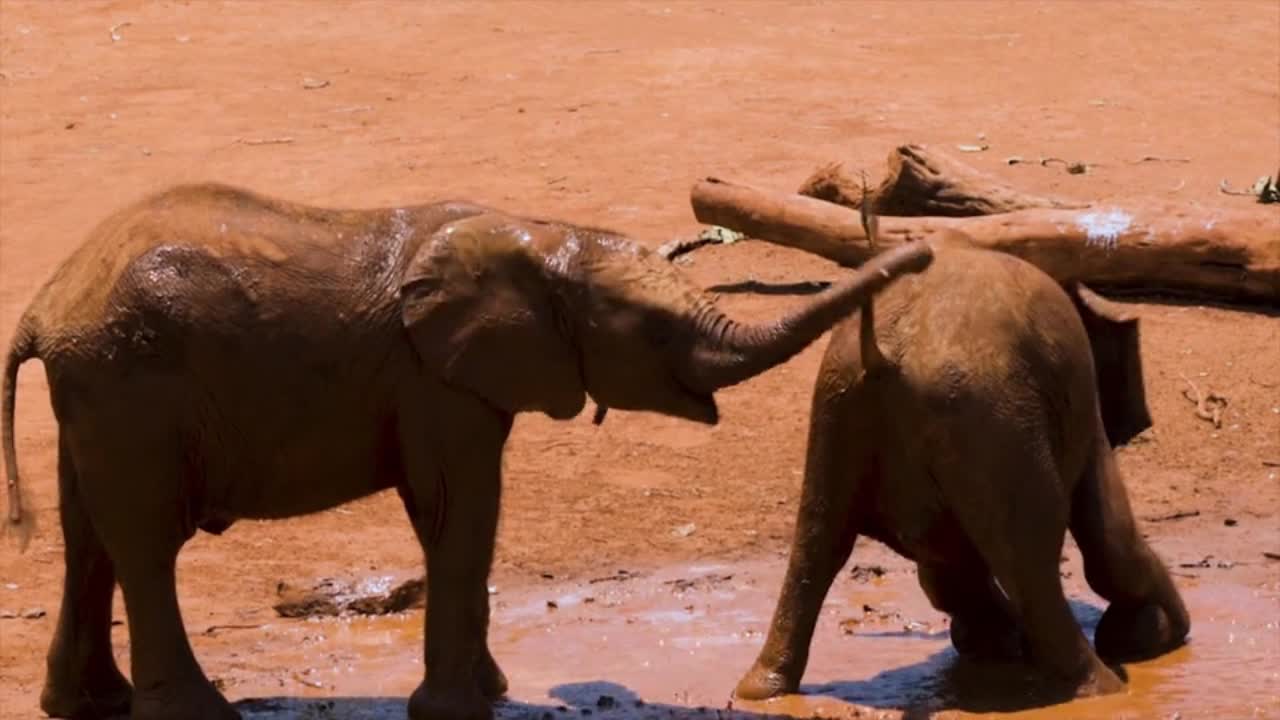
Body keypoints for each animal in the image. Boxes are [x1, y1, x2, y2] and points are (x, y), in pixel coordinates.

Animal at [0, 183, 931, 717]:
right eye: (654, 327)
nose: (918, 251)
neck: (539, 238)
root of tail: (44, 307)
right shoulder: (433, 378)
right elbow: (458, 508)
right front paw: (460, 710)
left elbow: (454, 516)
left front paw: (491, 695)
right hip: (132, 383)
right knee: (145, 545)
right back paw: (198, 715)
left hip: (103, 391)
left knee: (91, 540)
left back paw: (85, 705)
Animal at [737, 233, 1192, 702]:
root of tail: (883, 349)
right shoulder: (1080, 407)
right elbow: (1109, 537)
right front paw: (1151, 636)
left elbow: (944, 566)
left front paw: (994, 643)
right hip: (988, 415)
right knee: (1032, 559)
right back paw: (1102, 687)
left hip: (840, 405)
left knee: (817, 543)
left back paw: (760, 690)